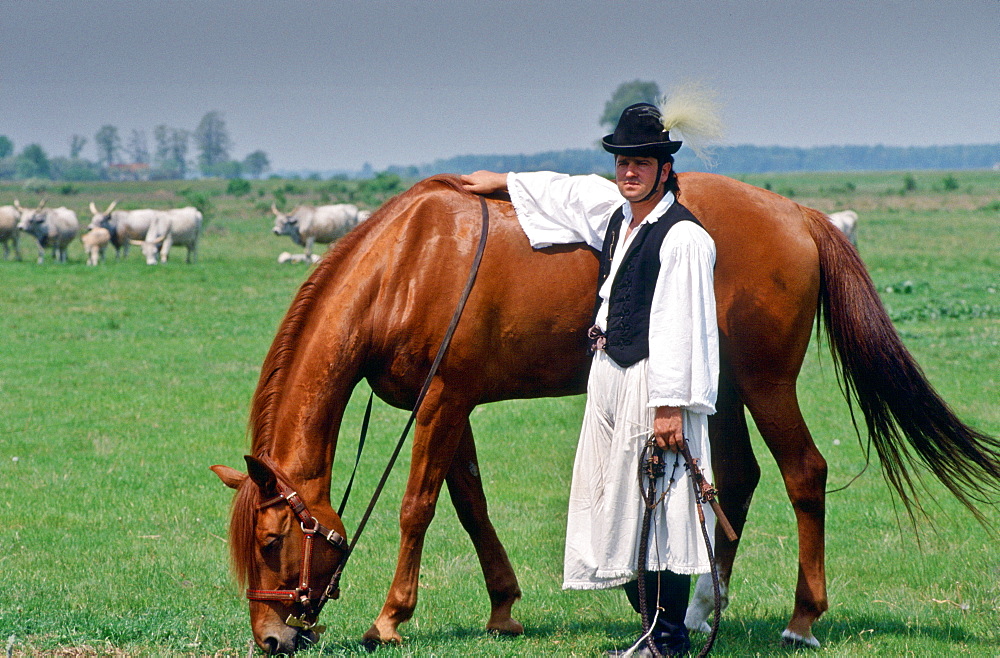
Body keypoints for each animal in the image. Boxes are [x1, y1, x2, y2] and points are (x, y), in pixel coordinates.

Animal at [207, 172, 996, 652]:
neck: (407, 265)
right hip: (720, 390)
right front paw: (503, 607)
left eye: (272, 542)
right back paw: (701, 607)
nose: (272, 638)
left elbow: (418, 507)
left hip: (766, 384)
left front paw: (390, 618)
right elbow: (471, 504)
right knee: (734, 480)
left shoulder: (443, 398)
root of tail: (799, 214)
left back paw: (801, 619)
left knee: (805, 473)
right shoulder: (455, 405)